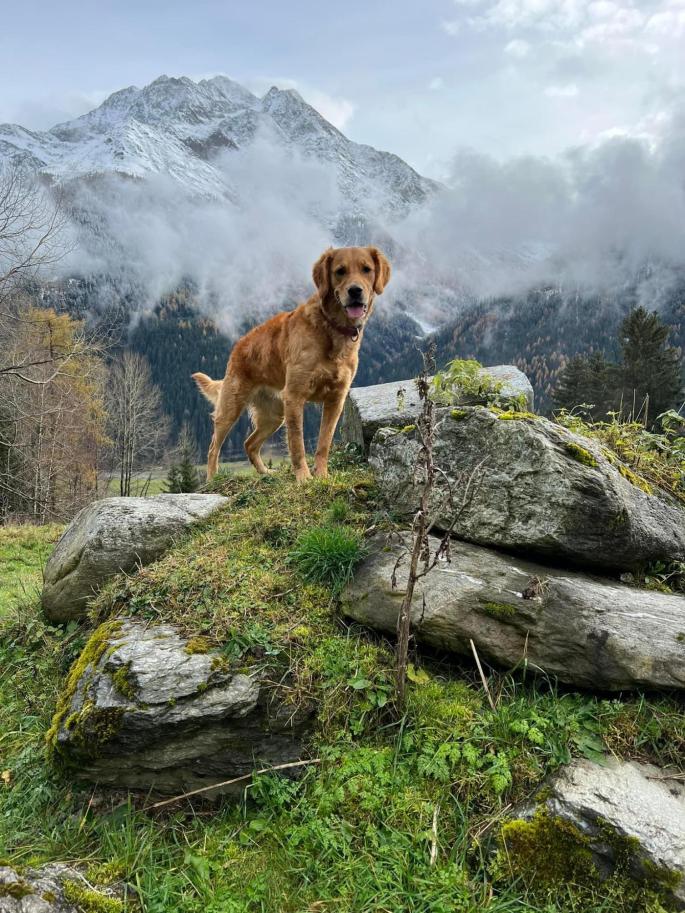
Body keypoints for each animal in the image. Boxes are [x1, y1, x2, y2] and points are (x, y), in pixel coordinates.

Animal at [192, 246, 390, 480]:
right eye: (340, 271)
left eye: (366, 269)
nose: (355, 291)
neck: (331, 327)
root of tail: (238, 346)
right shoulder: (295, 396)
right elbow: (297, 444)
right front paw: (303, 478)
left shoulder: (336, 399)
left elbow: (324, 442)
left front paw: (322, 475)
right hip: (231, 408)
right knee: (214, 447)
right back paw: (212, 478)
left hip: (274, 415)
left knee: (249, 443)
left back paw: (266, 473)